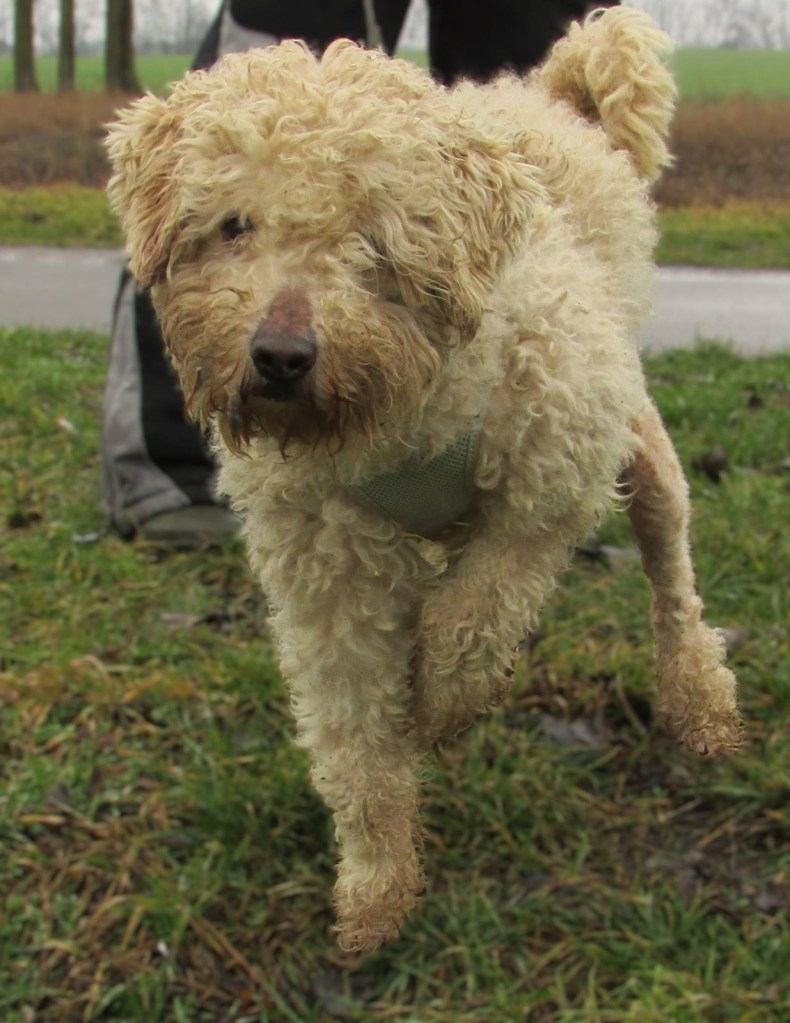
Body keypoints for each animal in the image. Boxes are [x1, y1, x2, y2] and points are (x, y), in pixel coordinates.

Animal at [106, 8, 742, 952]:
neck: (403, 413)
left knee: (672, 569)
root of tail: (547, 97)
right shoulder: (326, 578)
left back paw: (698, 695)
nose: (281, 356)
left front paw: (442, 699)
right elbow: (355, 743)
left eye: (374, 238)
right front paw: (375, 887)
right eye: (232, 224)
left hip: (632, 440)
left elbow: (478, 607)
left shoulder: (555, 470)